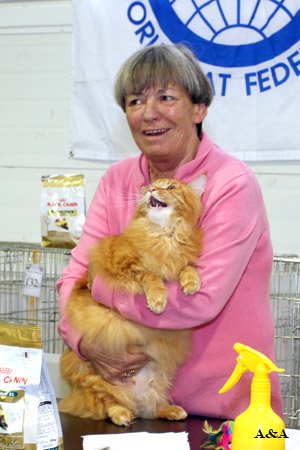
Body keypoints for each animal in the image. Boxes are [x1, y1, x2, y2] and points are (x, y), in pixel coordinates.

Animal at [59, 175, 207, 426]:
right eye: (151, 186)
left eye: (170, 187)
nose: (152, 190)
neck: (163, 233)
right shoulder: (125, 264)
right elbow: (150, 275)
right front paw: (158, 299)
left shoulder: (181, 259)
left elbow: (188, 267)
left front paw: (191, 283)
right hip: (88, 372)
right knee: (110, 402)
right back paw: (122, 415)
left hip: (160, 378)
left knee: (151, 407)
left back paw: (171, 410)